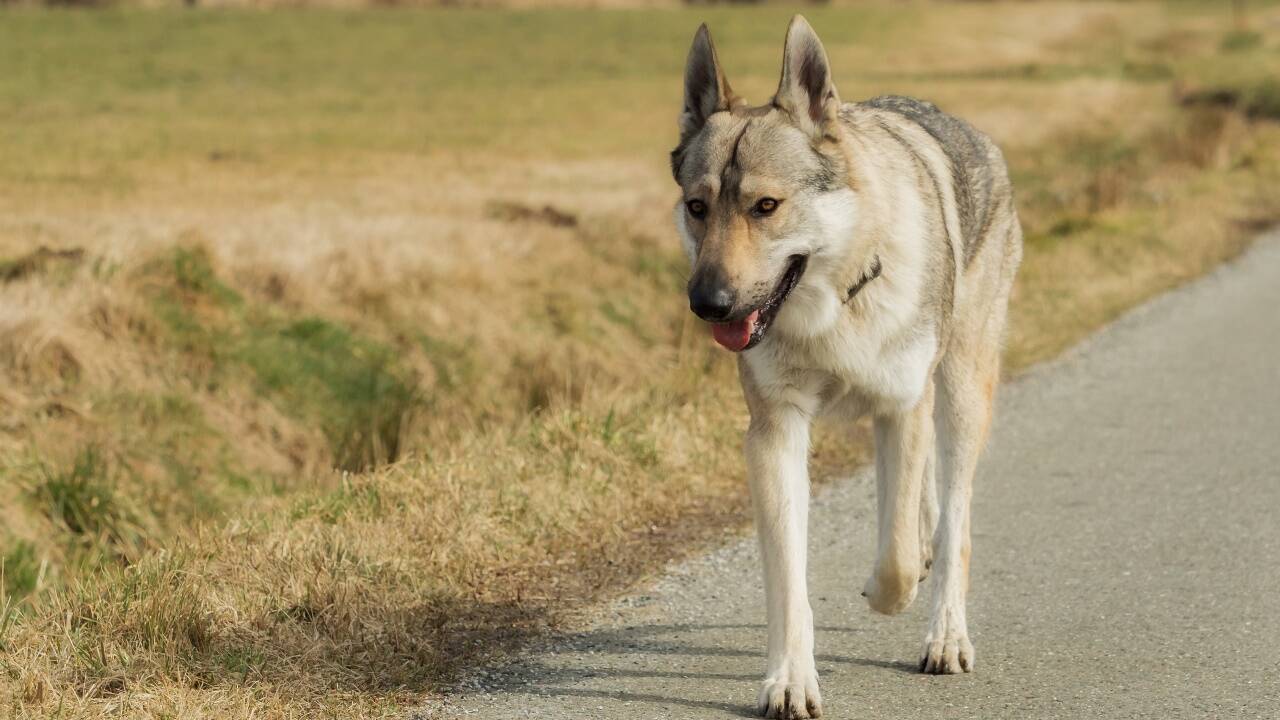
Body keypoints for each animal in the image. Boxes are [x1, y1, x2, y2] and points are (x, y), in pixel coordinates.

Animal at [670, 15, 1023, 718]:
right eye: (698, 207)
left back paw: (946, 635)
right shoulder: (775, 433)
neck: (832, 308)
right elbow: (790, 583)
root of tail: (968, 129)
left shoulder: (902, 409)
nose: (708, 304)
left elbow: (894, 559)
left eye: (765, 207)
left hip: (960, 398)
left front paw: (894, 592)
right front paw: (789, 682)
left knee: (956, 521)